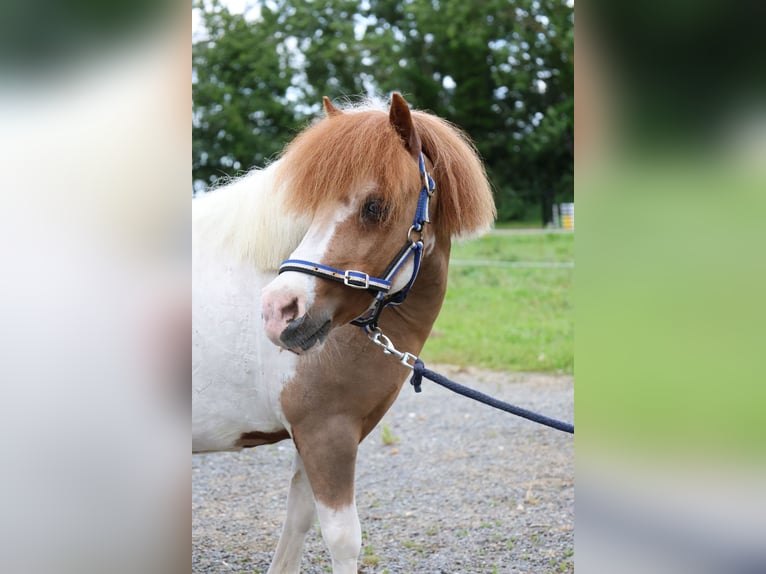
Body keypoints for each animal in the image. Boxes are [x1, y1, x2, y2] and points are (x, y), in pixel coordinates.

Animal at [192, 93, 495, 573]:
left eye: (375, 206)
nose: (278, 311)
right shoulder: (327, 434)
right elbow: (342, 538)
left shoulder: (312, 438)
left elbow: (297, 523)